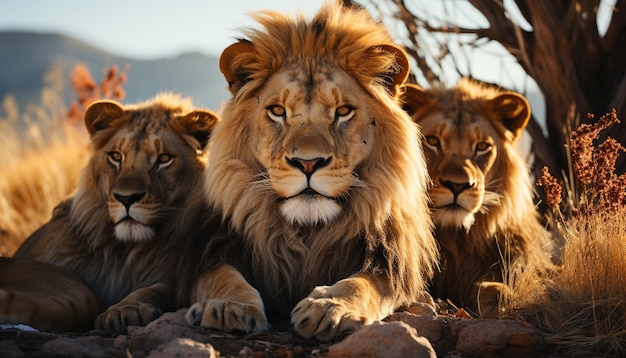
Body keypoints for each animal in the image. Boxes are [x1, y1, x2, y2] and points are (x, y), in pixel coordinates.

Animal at [7, 93, 219, 332]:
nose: (126, 198)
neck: (123, 253)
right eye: (116, 156)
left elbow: (153, 289)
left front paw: (124, 310)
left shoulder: (175, 278)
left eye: (164, 159)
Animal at [168, 1, 436, 342]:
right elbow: (222, 277)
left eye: (343, 111)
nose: (308, 163)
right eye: (277, 111)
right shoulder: (207, 252)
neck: (306, 229)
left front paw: (331, 307)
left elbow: (363, 284)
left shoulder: (390, 262)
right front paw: (228, 307)